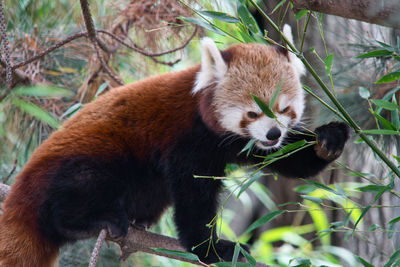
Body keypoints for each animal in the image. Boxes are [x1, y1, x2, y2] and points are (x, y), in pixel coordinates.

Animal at [0, 25, 350, 267]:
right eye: (253, 112)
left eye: (284, 109)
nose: (273, 134)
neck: (207, 120)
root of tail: (23, 187)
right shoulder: (187, 139)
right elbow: (193, 197)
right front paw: (211, 248)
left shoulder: (240, 143)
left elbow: (285, 158)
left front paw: (328, 139)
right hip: (81, 165)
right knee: (77, 192)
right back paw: (94, 219)